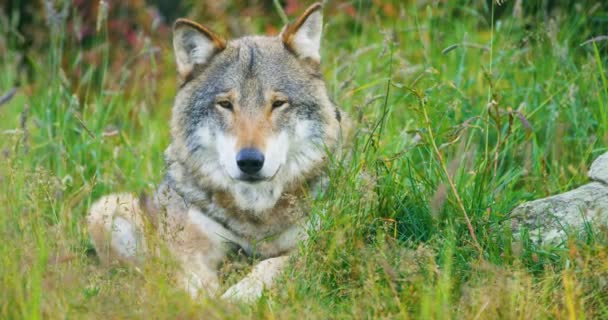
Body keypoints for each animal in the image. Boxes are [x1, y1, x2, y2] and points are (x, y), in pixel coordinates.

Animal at [86, 2, 352, 302]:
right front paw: (207, 302)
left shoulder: (312, 245)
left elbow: (272, 264)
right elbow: (194, 281)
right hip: (105, 208)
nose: (249, 161)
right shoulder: (188, 249)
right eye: (225, 104)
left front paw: (239, 295)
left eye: (278, 103)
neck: (255, 215)